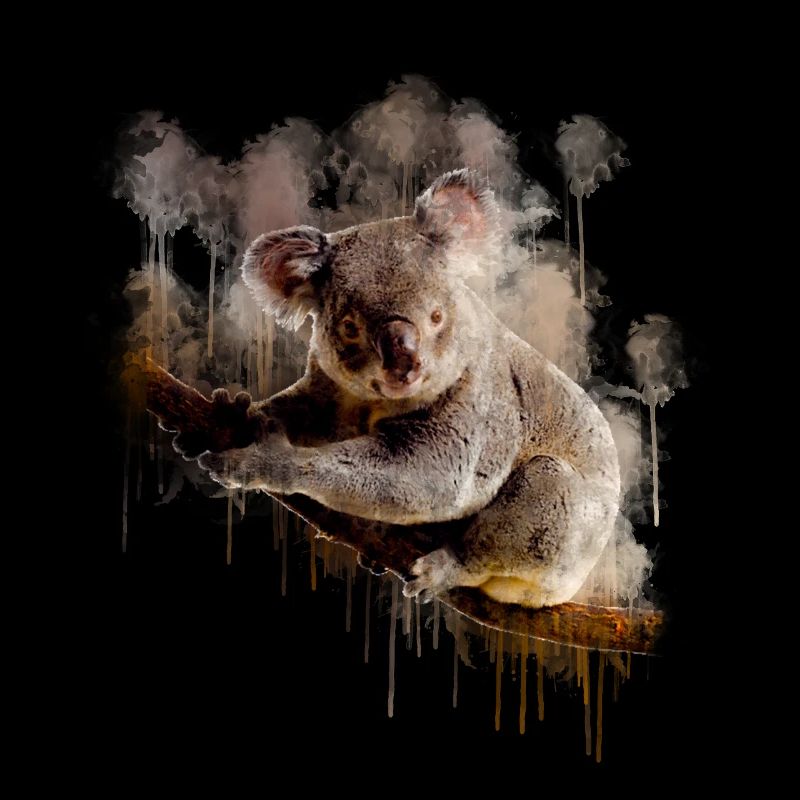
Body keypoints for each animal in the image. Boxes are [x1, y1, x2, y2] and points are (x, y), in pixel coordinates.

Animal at [195, 169, 620, 608]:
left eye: (435, 316)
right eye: (350, 327)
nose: (404, 365)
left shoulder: (476, 401)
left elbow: (431, 477)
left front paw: (266, 462)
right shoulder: (330, 391)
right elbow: (298, 413)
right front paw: (237, 412)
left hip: (557, 524)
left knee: (519, 516)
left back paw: (443, 567)